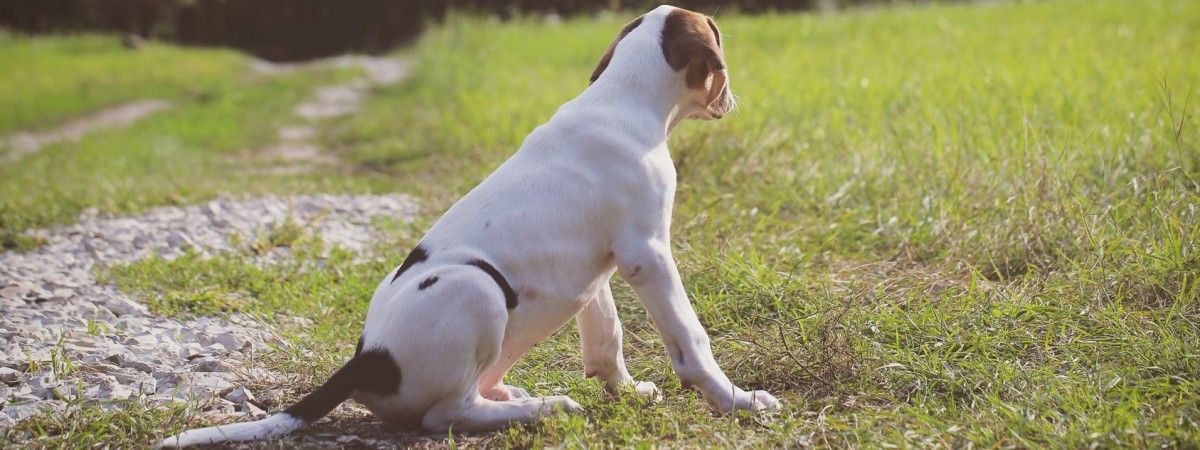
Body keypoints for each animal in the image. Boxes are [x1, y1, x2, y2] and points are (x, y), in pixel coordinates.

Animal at [159, 6, 777, 448]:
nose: (731, 100)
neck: (625, 101)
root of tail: (364, 360)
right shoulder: (647, 254)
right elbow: (690, 340)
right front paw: (736, 401)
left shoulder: (599, 266)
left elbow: (606, 338)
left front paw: (626, 393)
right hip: (474, 285)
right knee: (444, 415)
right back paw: (541, 408)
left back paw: (510, 395)